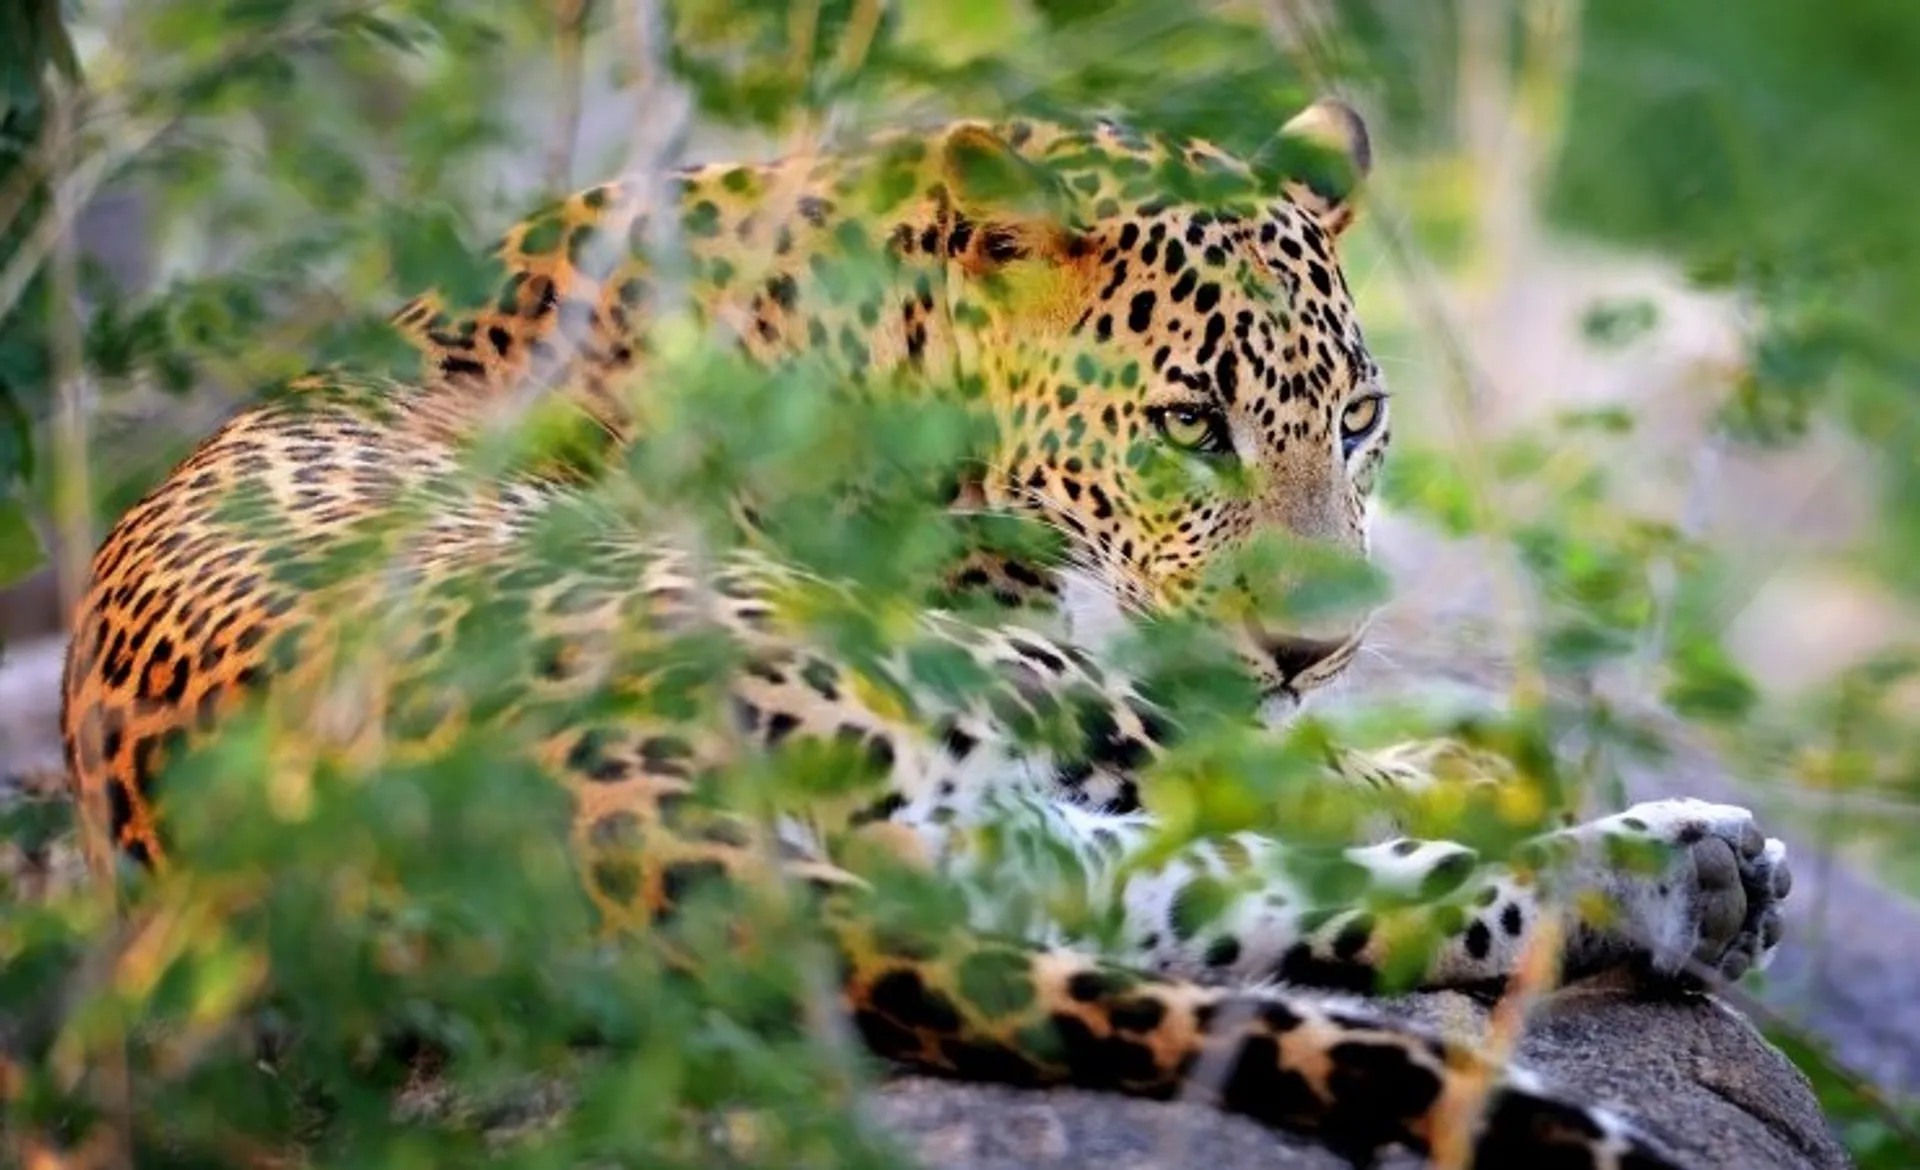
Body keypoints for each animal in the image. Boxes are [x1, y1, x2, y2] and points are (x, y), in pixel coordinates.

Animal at [46, 97, 1792, 1169]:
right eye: (1191, 426)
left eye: (1358, 421)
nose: (1316, 654)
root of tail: (583, 821)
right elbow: (1285, 757)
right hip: (970, 689)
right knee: (1277, 816)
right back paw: (1635, 837)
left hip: (976, 841)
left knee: (1265, 893)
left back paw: (1685, 878)